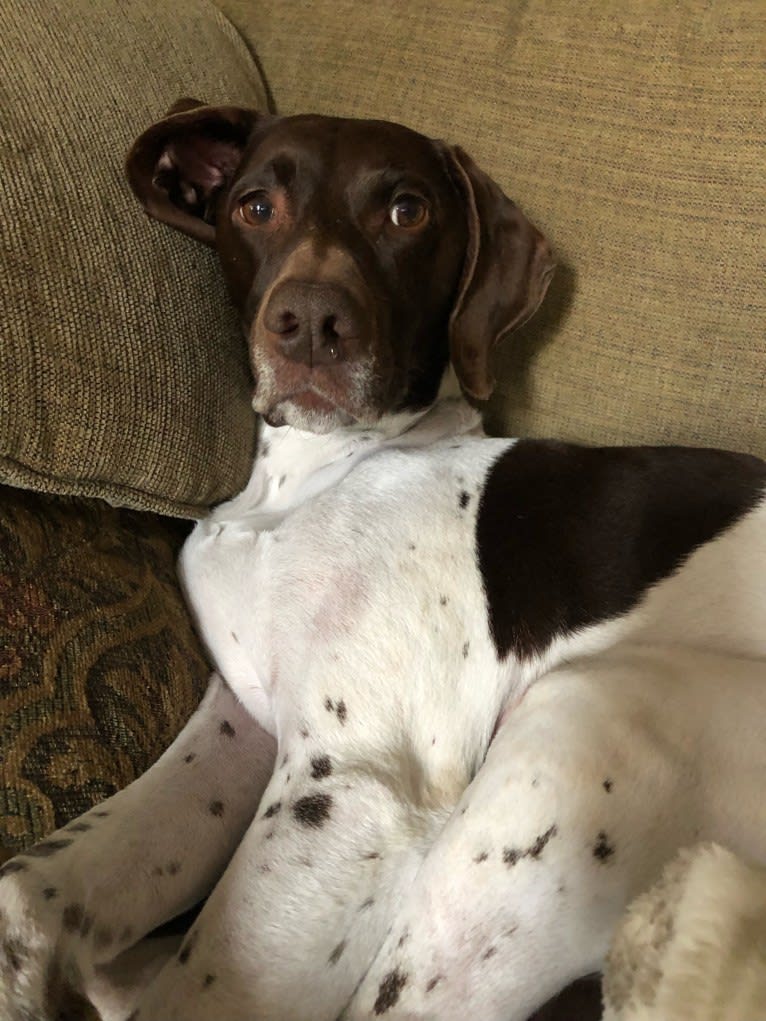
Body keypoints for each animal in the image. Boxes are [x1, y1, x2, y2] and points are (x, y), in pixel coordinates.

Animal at [1, 101, 766, 1021]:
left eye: (407, 212)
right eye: (255, 206)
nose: (309, 323)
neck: (317, 471)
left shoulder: (352, 781)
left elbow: (202, 987)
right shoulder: (239, 729)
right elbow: (33, 888)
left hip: (577, 728)